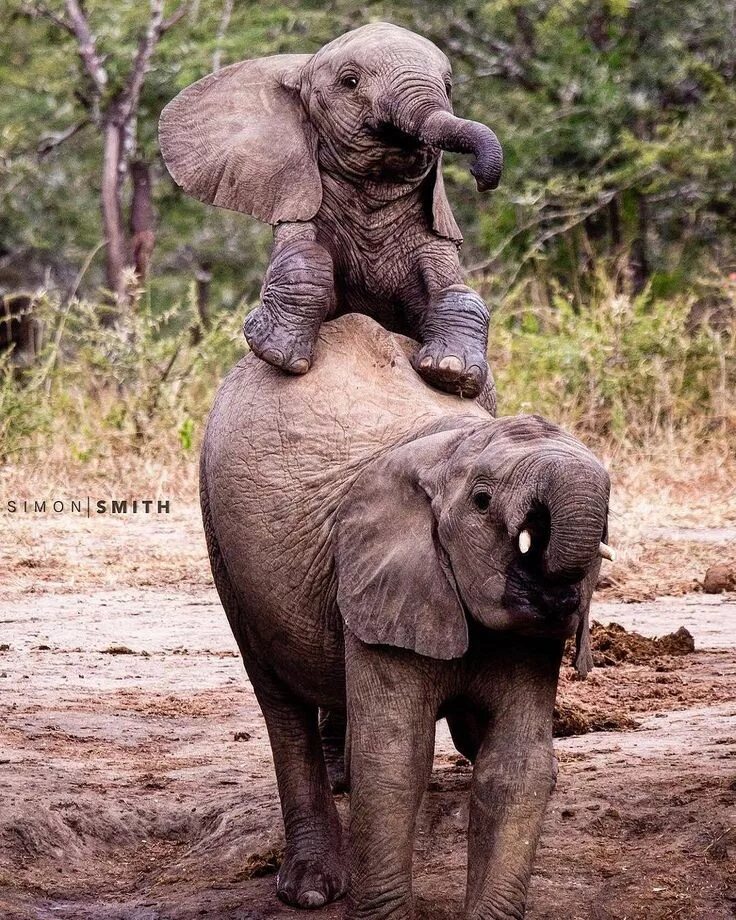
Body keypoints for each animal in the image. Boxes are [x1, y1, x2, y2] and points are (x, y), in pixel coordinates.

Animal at [200, 312, 608, 916]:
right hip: (221, 545)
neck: (447, 448)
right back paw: (311, 889)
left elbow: (517, 767)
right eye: (482, 500)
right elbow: (393, 762)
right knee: (279, 703)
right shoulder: (384, 585)